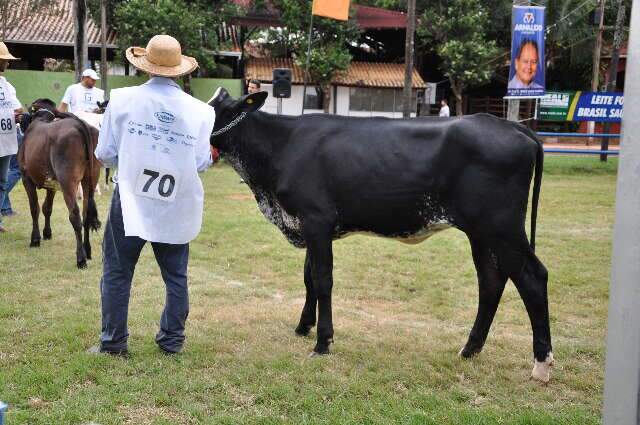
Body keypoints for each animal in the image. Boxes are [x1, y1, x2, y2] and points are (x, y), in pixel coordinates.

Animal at [18, 97, 102, 266]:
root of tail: (79, 124)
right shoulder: (52, 184)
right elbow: (47, 208)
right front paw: (47, 233)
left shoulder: (26, 178)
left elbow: (34, 208)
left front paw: (35, 239)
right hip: (90, 179)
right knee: (86, 214)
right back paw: (87, 250)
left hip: (68, 180)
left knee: (75, 215)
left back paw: (81, 258)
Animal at [211, 88, 556, 380]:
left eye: (214, 108)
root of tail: (510, 126)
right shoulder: (308, 225)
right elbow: (308, 277)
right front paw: (303, 326)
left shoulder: (316, 219)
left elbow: (322, 280)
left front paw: (322, 342)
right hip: (481, 233)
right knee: (491, 280)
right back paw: (470, 349)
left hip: (502, 227)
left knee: (532, 277)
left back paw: (541, 364)